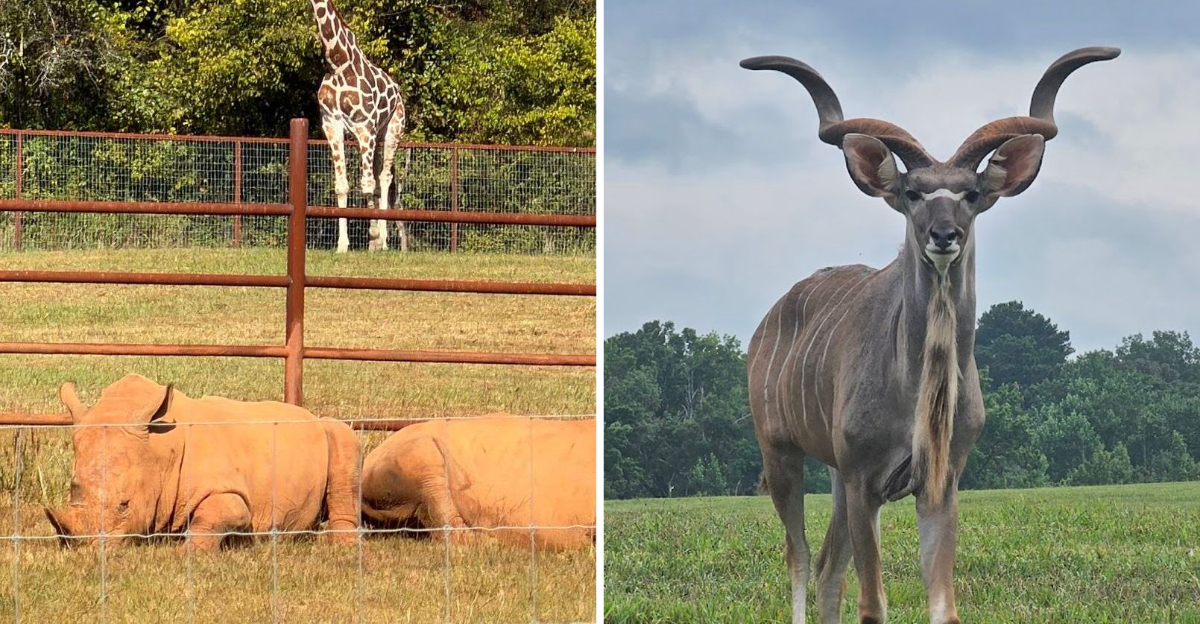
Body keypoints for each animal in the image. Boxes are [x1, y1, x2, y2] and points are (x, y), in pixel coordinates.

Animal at [44, 374, 361, 551]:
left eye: (125, 505)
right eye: (73, 489)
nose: (87, 550)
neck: (161, 450)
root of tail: (308, 414)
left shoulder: (232, 494)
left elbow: (216, 515)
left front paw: (188, 551)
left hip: (331, 430)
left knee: (343, 440)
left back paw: (341, 547)